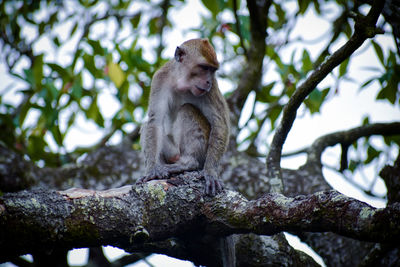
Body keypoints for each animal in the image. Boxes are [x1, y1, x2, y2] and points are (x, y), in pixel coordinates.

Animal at [138, 38, 230, 197]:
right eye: (204, 68)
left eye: (212, 70)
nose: (208, 81)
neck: (181, 83)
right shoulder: (160, 79)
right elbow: (155, 121)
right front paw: (152, 169)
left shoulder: (212, 89)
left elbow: (220, 124)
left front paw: (210, 172)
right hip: (173, 152)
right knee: (146, 126)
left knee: (187, 109)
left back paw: (188, 163)